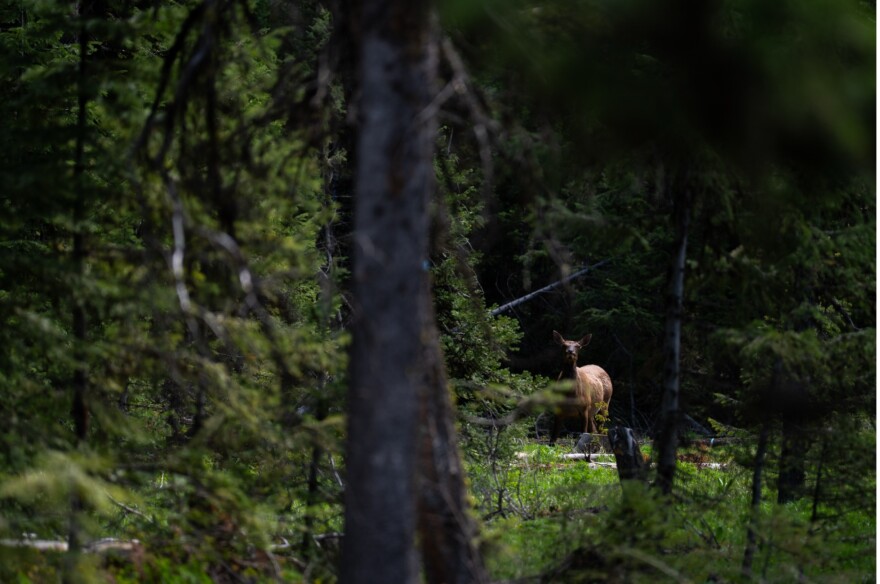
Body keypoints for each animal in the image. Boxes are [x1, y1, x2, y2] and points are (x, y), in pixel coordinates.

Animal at [550, 331, 613, 460]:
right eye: (563, 345)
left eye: (578, 346)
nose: (570, 352)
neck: (570, 394)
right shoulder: (558, 409)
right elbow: (554, 436)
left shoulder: (583, 408)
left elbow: (582, 433)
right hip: (591, 411)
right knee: (594, 429)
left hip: (605, 403)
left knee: (600, 429)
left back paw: (600, 451)